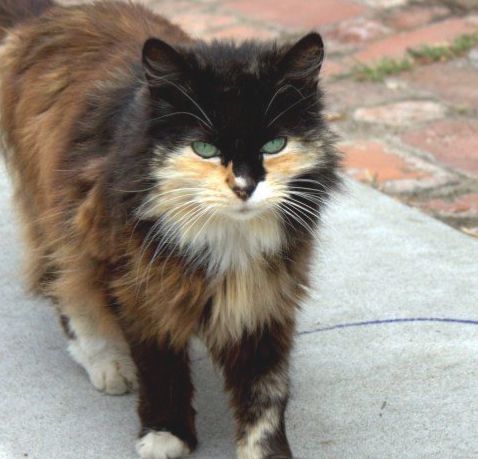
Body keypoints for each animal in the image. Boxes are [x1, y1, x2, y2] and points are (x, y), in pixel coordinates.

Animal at [0, 0, 342, 459]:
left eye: (275, 145)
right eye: (205, 149)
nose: (244, 186)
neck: (226, 241)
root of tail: (50, 15)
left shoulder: (263, 296)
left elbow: (265, 395)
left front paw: (266, 449)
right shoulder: (137, 284)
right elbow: (159, 365)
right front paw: (166, 434)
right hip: (60, 218)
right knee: (64, 286)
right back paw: (106, 362)